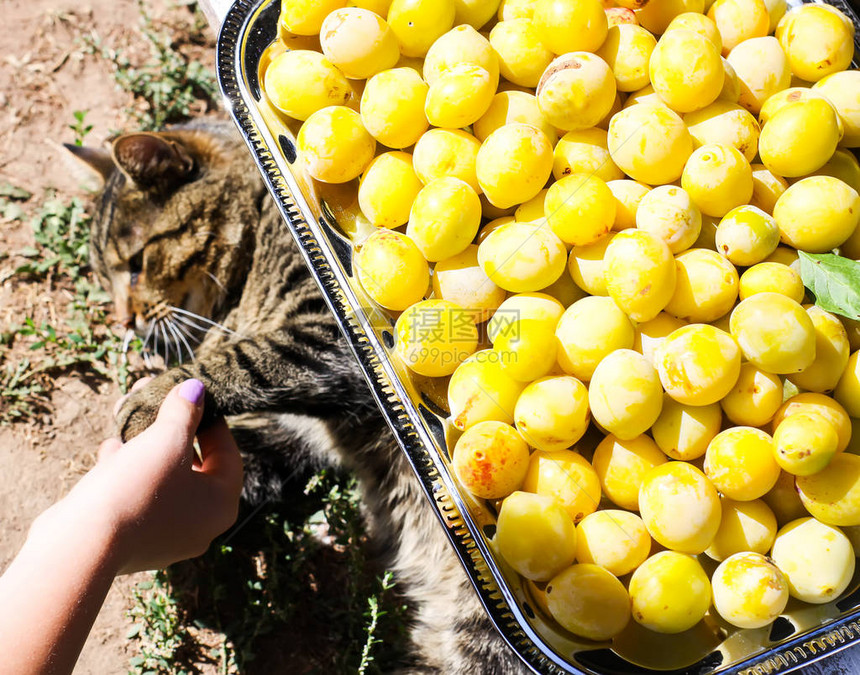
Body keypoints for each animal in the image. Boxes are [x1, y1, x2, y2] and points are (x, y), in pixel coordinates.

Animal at [67, 121, 528, 675]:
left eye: (136, 265)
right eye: (103, 277)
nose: (122, 320)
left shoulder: (329, 331)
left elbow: (245, 358)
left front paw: (155, 393)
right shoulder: (292, 434)